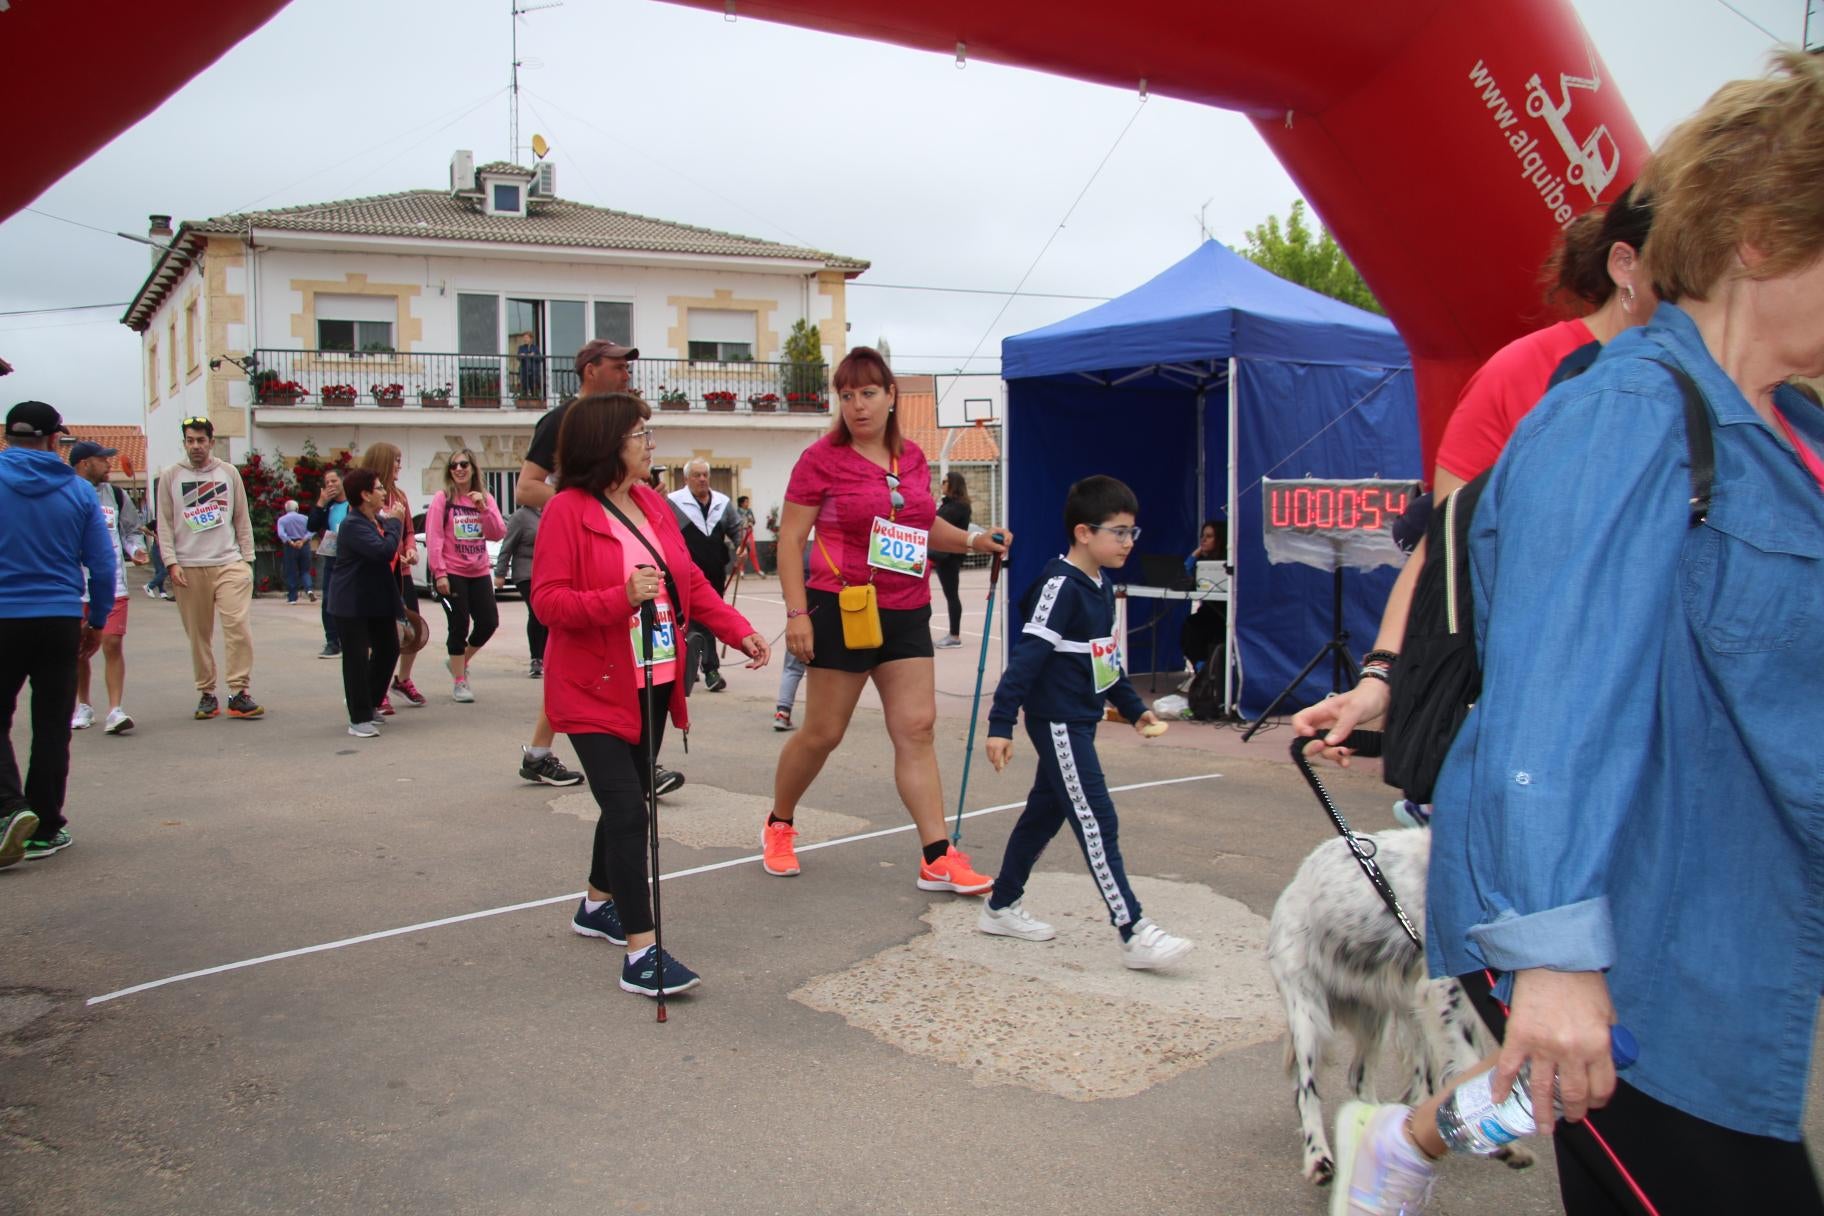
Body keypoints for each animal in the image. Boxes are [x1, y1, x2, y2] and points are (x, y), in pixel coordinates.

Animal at [1276, 827, 1532, 1188]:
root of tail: (1296, 883)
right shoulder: (1445, 993)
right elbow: (1471, 1065)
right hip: (1309, 1014)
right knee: (1306, 1088)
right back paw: (1318, 1158)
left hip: (1378, 1017)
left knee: (1360, 1075)